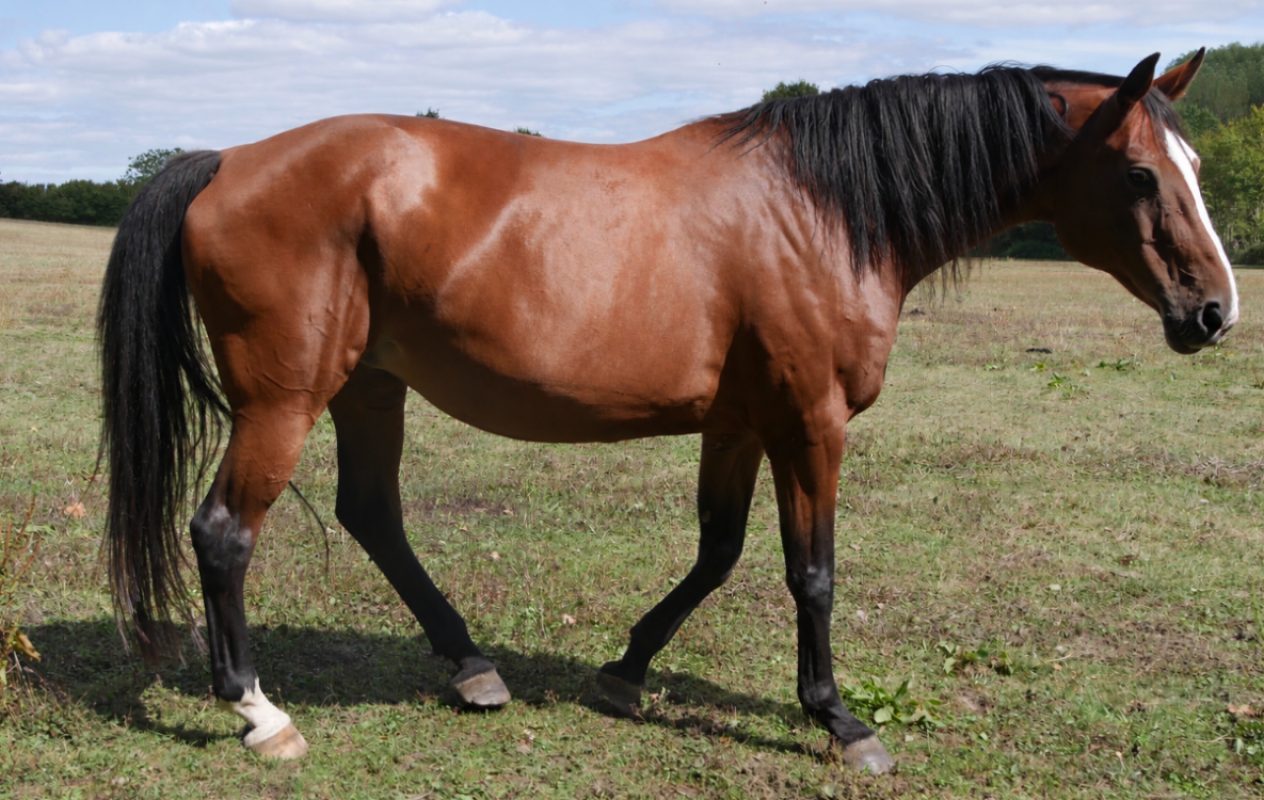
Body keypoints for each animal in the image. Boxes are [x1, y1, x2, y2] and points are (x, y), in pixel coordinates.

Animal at [98, 49, 1235, 773]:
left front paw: (624, 670)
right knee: (224, 532)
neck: (822, 211)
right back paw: (258, 712)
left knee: (372, 514)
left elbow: (717, 553)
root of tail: (228, 159)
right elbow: (811, 574)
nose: (1214, 311)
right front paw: (839, 719)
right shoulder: (810, 421)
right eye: (1141, 173)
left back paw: (471, 667)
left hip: (371, 386)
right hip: (285, 398)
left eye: (1192, 168)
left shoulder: (738, 423)